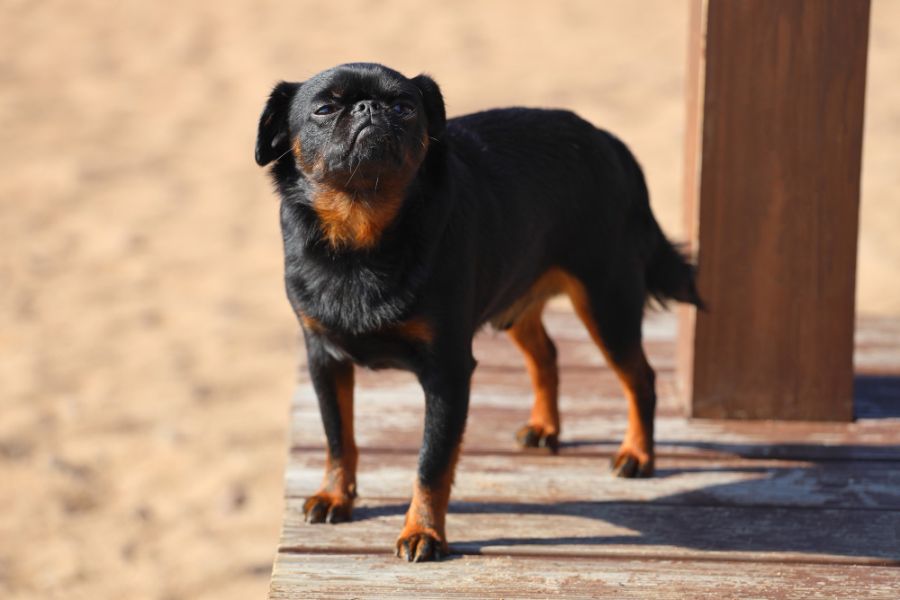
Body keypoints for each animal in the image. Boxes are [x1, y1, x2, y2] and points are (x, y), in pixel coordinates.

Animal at [253, 64, 704, 564]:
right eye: (325, 108)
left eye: (404, 107)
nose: (369, 107)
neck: (360, 235)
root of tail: (609, 142)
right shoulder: (324, 360)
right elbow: (338, 438)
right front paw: (337, 495)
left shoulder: (447, 374)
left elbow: (432, 462)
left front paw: (423, 531)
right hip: (521, 301)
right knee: (546, 355)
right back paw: (546, 427)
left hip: (608, 304)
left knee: (639, 378)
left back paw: (638, 454)